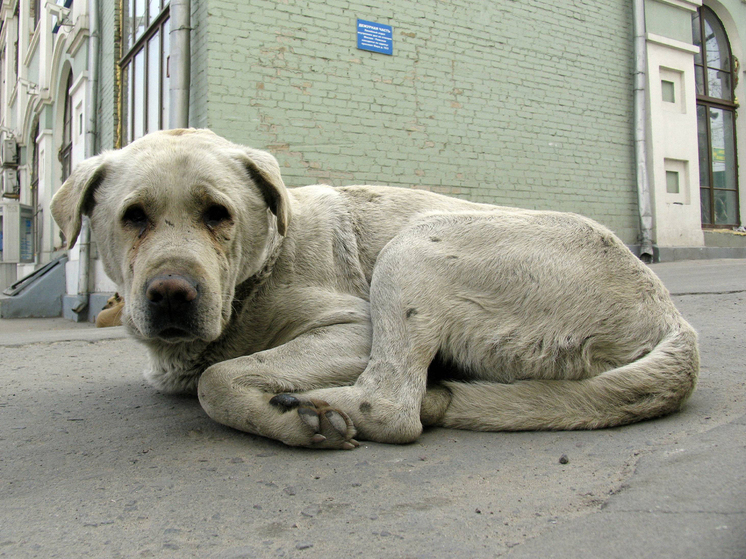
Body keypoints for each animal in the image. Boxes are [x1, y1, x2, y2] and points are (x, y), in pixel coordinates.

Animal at [52, 130, 696, 450]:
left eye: (218, 214)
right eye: (134, 216)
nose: (171, 293)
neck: (256, 272)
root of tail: (671, 317)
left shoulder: (350, 329)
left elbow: (218, 380)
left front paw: (287, 417)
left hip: (414, 250)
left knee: (390, 407)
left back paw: (318, 407)